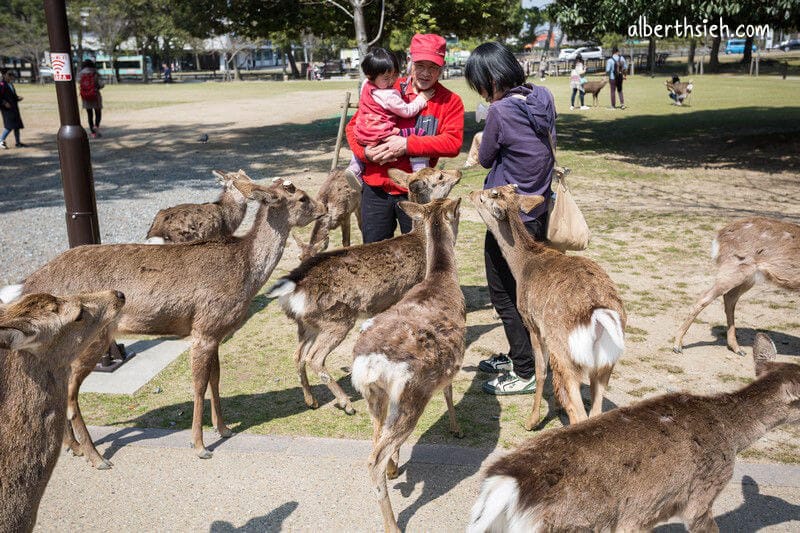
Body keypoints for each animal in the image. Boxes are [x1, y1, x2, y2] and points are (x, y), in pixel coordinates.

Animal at [3, 179, 324, 467]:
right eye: (302, 197)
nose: (324, 209)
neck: (245, 273)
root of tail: (28, 283)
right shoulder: (205, 327)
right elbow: (198, 385)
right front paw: (200, 446)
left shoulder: (215, 331)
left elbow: (216, 379)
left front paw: (224, 429)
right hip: (93, 338)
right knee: (71, 396)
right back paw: (96, 457)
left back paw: (75, 447)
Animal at [266, 167, 462, 416]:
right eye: (439, 176)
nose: (458, 171)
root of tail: (292, 289)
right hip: (336, 318)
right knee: (314, 358)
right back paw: (345, 404)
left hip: (306, 324)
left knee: (297, 355)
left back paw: (311, 401)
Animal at [352, 198, 465, 533]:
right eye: (458, 211)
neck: (442, 280)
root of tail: (370, 364)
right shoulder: (451, 367)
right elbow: (450, 393)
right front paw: (456, 429)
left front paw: (396, 466)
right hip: (411, 396)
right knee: (373, 459)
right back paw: (393, 524)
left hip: (375, 397)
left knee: (376, 437)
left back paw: (392, 469)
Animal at [470, 185, 626, 429]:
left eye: (487, 195)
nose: (470, 193)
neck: (522, 267)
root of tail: (599, 314)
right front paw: (556, 407)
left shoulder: (532, 323)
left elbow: (541, 371)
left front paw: (531, 421)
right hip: (606, 362)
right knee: (596, 411)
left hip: (565, 353)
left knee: (580, 414)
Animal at [674, 217, 800, 357]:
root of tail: (719, 236)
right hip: (734, 268)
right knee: (706, 297)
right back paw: (677, 346)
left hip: (748, 278)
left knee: (729, 298)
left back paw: (737, 348)